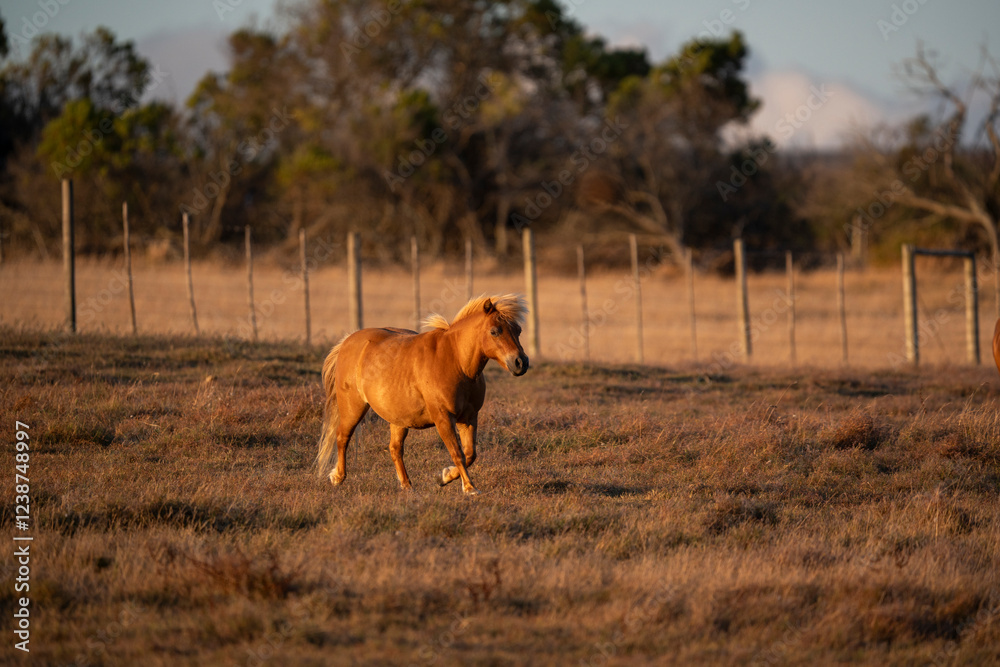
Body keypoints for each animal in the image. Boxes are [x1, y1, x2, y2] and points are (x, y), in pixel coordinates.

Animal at [316, 294, 529, 495]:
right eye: (495, 331)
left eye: (518, 330)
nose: (521, 363)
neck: (455, 361)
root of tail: (348, 341)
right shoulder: (443, 418)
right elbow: (457, 453)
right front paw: (469, 488)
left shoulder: (469, 418)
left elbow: (470, 454)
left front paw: (444, 477)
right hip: (354, 408)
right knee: (342, 437)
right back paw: (338, 477)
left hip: (398, 419)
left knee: (395, 449)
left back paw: (407, 486)